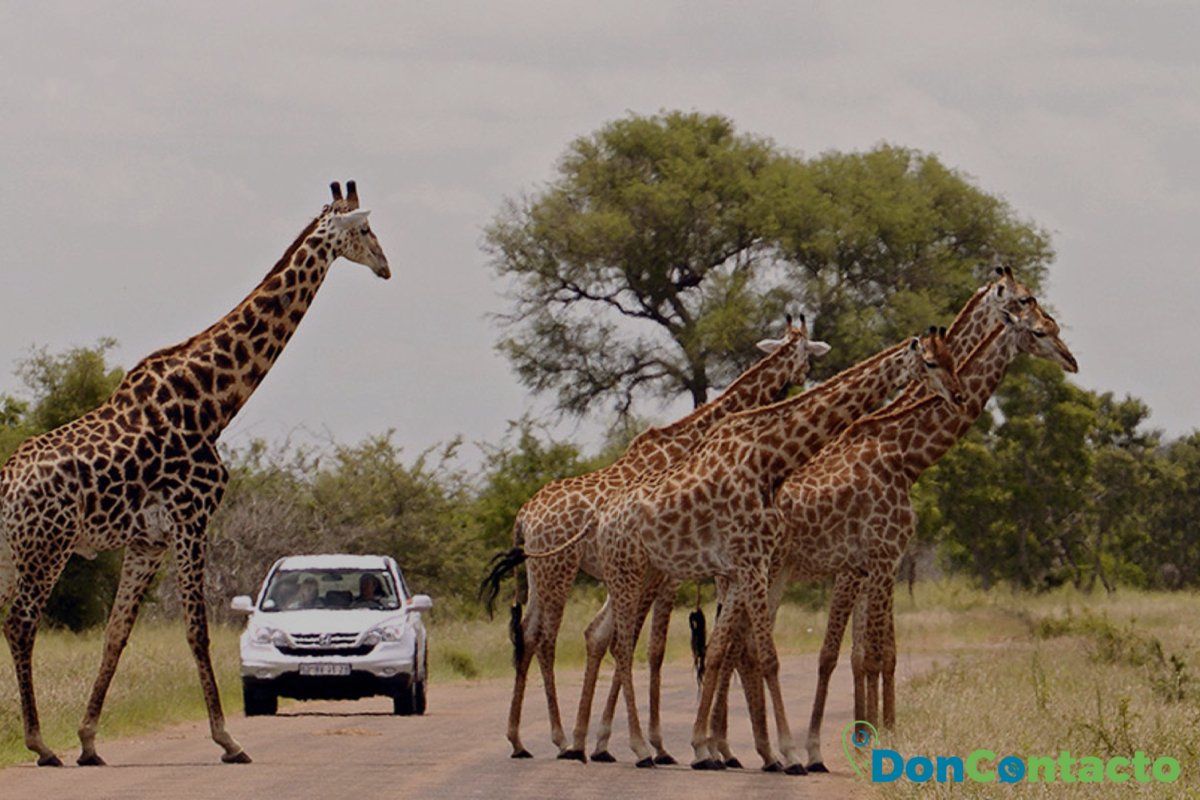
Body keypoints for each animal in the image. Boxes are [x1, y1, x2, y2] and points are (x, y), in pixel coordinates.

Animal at [0, 181, 388, 767]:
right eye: (365, 229)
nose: (386, 267)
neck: (213, 401)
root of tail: (5, 486)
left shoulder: (148, 539)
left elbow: (117, 634)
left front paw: (89, 740)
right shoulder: (191, 517)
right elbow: (198, 632)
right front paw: (228, 740)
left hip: (13, 551)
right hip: (47, 546)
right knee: (21, 623)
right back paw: (41, 744)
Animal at [482, 316, 830, 762]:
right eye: (807, 353)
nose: (805, 379)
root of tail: (525, 516)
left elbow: (626, 640)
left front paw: (614, 741)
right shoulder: (669, 573)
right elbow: (651, 647)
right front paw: (658, 745)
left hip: (541, 573)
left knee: (527, 634)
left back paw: (522, 739)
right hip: (558, 571)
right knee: (545, 638)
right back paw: (558, 738)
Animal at [588, 321, 964, 772]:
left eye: (952, 359)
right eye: (930, 361)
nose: (959, 395)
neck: (767, 457)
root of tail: (605, 518)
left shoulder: (744, 566)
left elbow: (720, 651)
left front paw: (706, 747)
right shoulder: (753, 562)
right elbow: (767, 656)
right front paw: (790, 752)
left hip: (643, 574)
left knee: (612, 639)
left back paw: (607, 742)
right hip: (628, 572)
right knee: (623, 646)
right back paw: (636, 747)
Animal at [772, 293, 1084, 767]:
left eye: (1055, 326)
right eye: (1038, 330)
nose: (1072, 361)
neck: (904, 454)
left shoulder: (875, 564)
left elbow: (874, 653)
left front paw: (876, 730)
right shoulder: (878, 559)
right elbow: (861, 654)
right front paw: (872, 738)